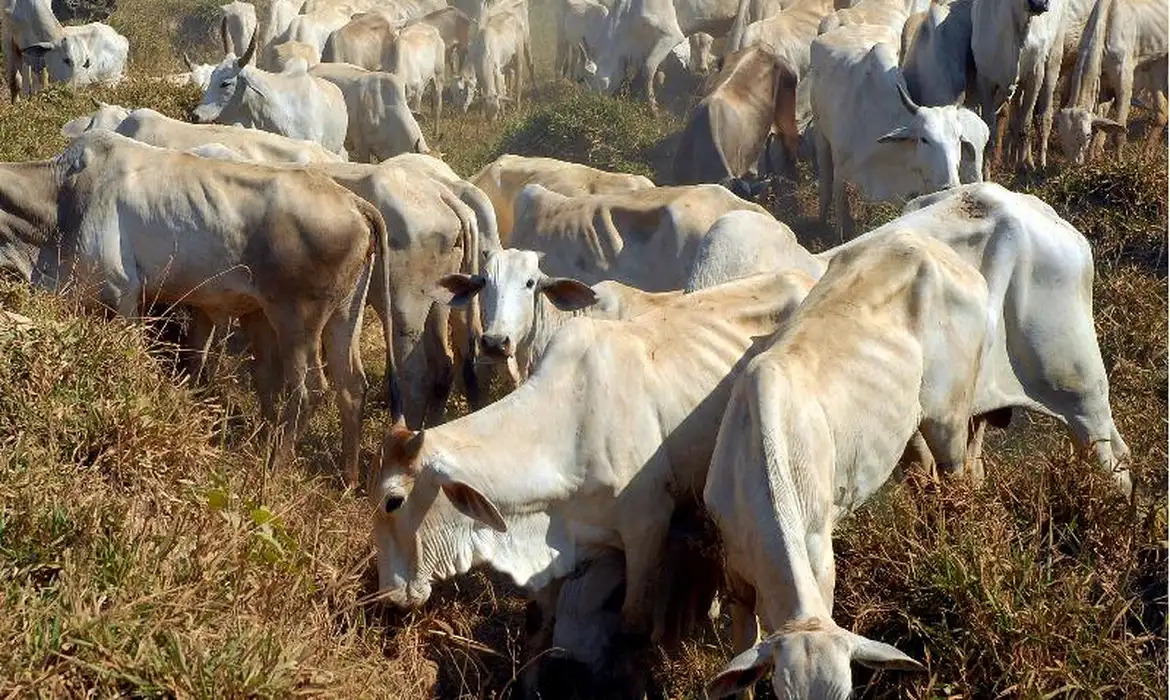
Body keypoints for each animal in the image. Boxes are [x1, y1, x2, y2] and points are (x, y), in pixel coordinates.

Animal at [0, 130, 397, 482]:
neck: (60, 202)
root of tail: (354, 203)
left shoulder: (124, 295)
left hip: (297, 320)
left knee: (308, 390)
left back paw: (275, 470)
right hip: (344, 315)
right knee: (351, 386)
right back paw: (347, 479)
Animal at [814, 23, 968, 238]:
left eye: (959, 138)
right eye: (924, 139)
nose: (949, 186)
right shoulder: (841, 175)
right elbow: (844, 223)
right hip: (820, 134)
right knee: (825, 183)